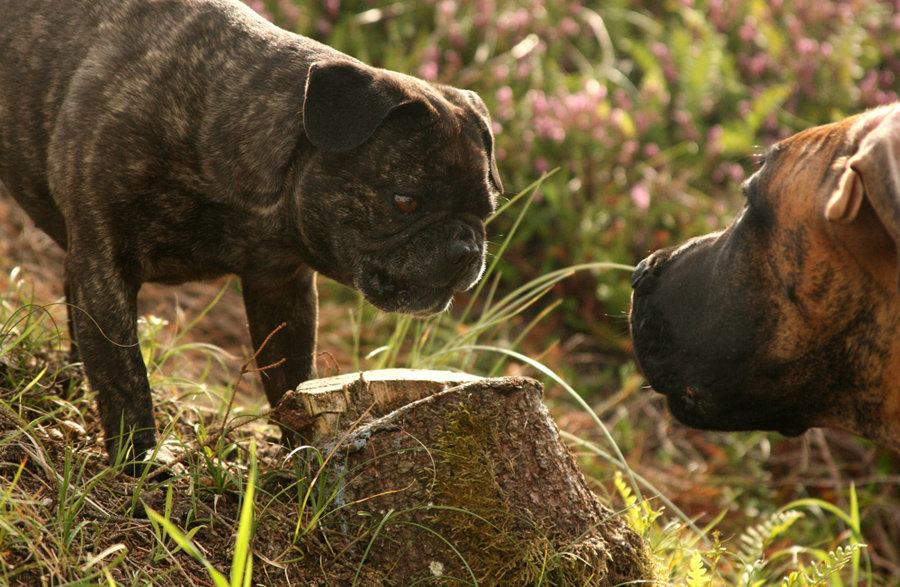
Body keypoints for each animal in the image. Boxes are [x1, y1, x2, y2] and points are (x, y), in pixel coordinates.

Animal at [0, 0, 502, 468]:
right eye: (406, 201)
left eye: (487, 210)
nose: (464, 247)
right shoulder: (105, 265)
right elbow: (124, 374)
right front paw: (142, 461)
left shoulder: (280, 289)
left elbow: (291, 377)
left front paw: (305, 462)